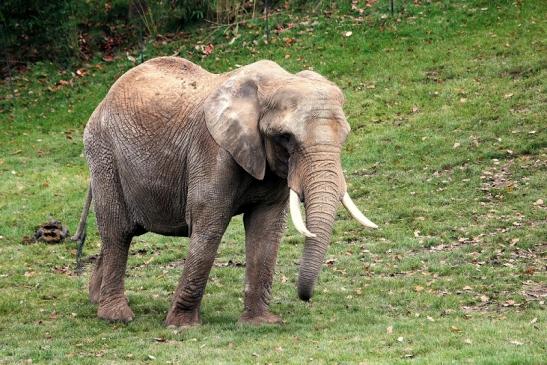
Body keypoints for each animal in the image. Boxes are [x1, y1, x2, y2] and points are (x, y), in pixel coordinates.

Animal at [74, 56, 376, 324]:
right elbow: (209, 226)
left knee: (123, 232)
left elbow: (266, 229)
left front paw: (261, 323)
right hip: (103, 153)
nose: (304, 297)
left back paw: (95, 299)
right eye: (286, 138)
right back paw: (116, 316)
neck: (273, 84)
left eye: (344, 137)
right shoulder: (212, 150)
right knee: (118, 231)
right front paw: (181, 325)